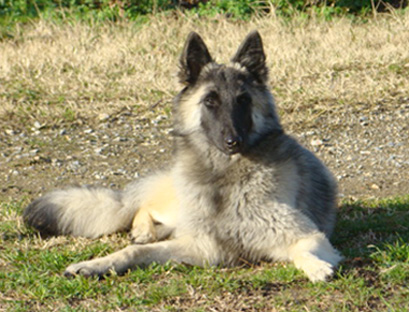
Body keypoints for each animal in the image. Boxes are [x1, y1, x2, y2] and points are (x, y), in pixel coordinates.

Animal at [24, 30, 342, 282]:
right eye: (210, 101)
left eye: (243, 101)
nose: (233, 141)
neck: (223, 177)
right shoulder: (203, 244)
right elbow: (133, 250)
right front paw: (95, 264)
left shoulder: (303, 235)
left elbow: (302, 250)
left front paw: (316, 267)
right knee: (140, 209)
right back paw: (143, 229)